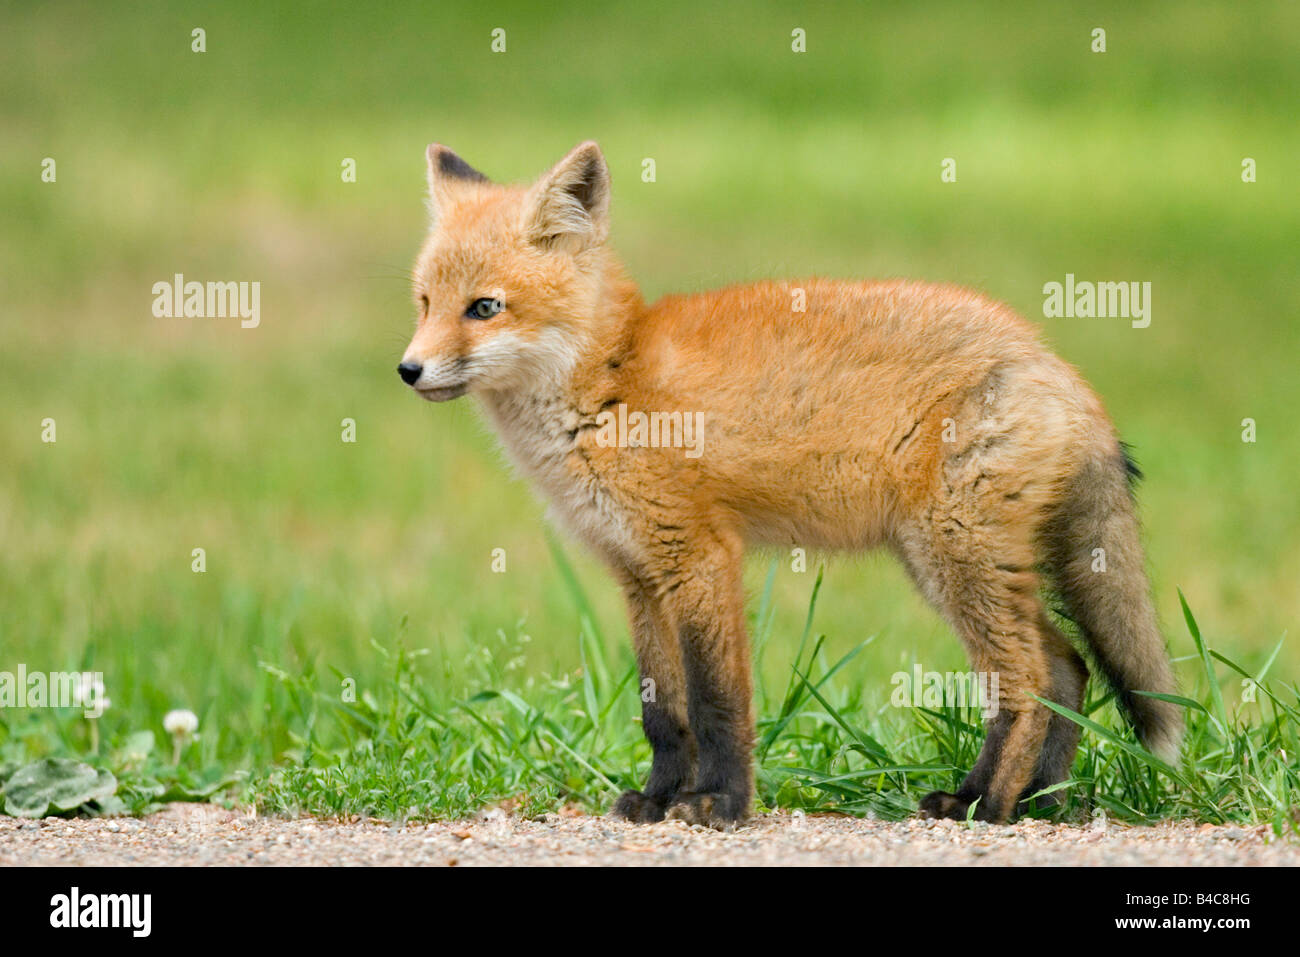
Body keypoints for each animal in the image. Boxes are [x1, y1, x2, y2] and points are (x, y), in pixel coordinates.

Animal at [400, 138, 1185, 826]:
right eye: (425, 302)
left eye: (484, 307)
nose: (408, 370)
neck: (611, 383)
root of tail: (1050, 358)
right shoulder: (639, 574)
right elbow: (664, 714)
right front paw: (656, 800)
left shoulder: (700, 558)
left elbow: (717, 703)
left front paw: (719, 804)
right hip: (952, 563)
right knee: (1068, 667)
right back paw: (1030, 801)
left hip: (955, 557)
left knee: (1026, 679)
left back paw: (986, 805)